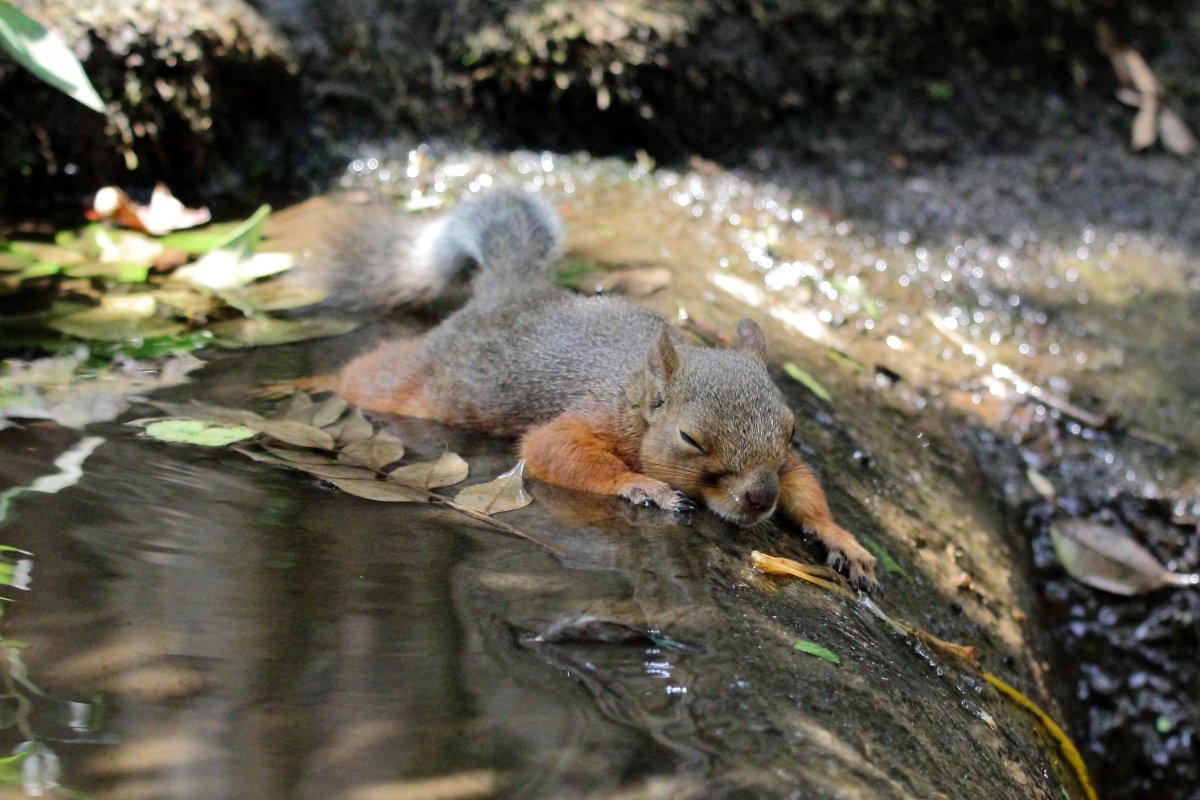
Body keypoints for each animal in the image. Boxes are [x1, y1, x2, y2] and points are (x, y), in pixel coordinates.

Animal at [280, 188, 883, 587]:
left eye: (791, 430)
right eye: (690, 439)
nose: (760, 499)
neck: (637, 397)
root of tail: (511, 293)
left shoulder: (788, 465)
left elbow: (804, 487)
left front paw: (842, 539)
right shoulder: (593, 416)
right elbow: (554, 450)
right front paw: (642, 485)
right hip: (436, 382)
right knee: (370, 375)